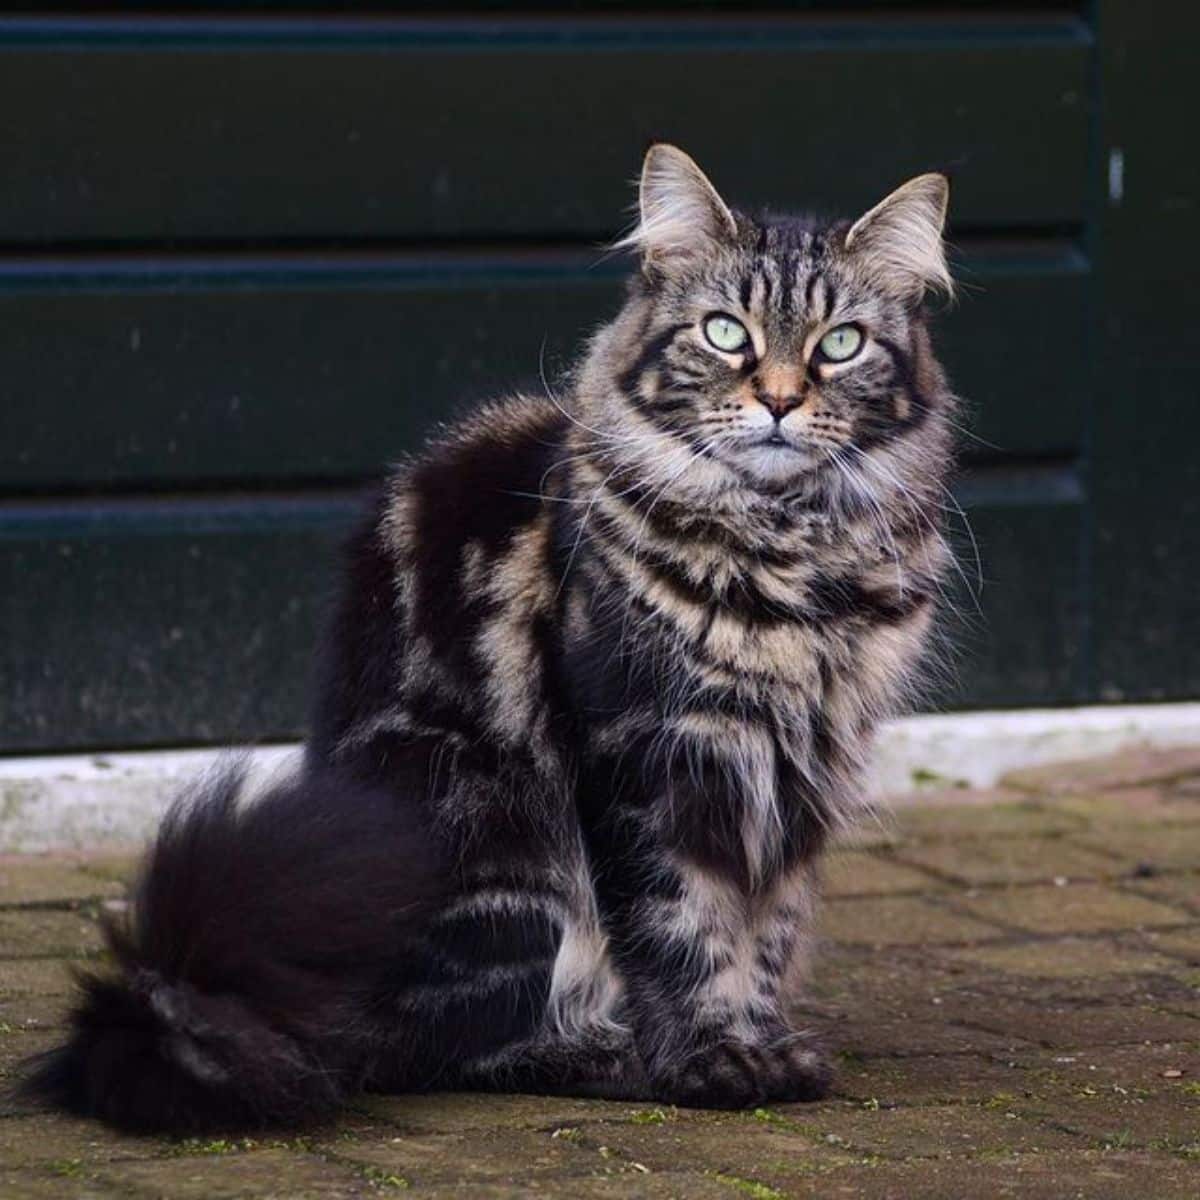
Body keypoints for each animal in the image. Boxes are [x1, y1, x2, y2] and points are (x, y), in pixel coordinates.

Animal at [21, 142, 955, 1132]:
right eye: (724, 333)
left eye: (840, 344)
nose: (778, 399)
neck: (787, 555)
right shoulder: (646, 754)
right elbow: (684, 929)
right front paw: (709, 1061)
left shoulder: (805, 768)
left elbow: (767, 931)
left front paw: (764, 1041)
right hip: (499, 834)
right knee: (451, 1047)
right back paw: (605, 1053)